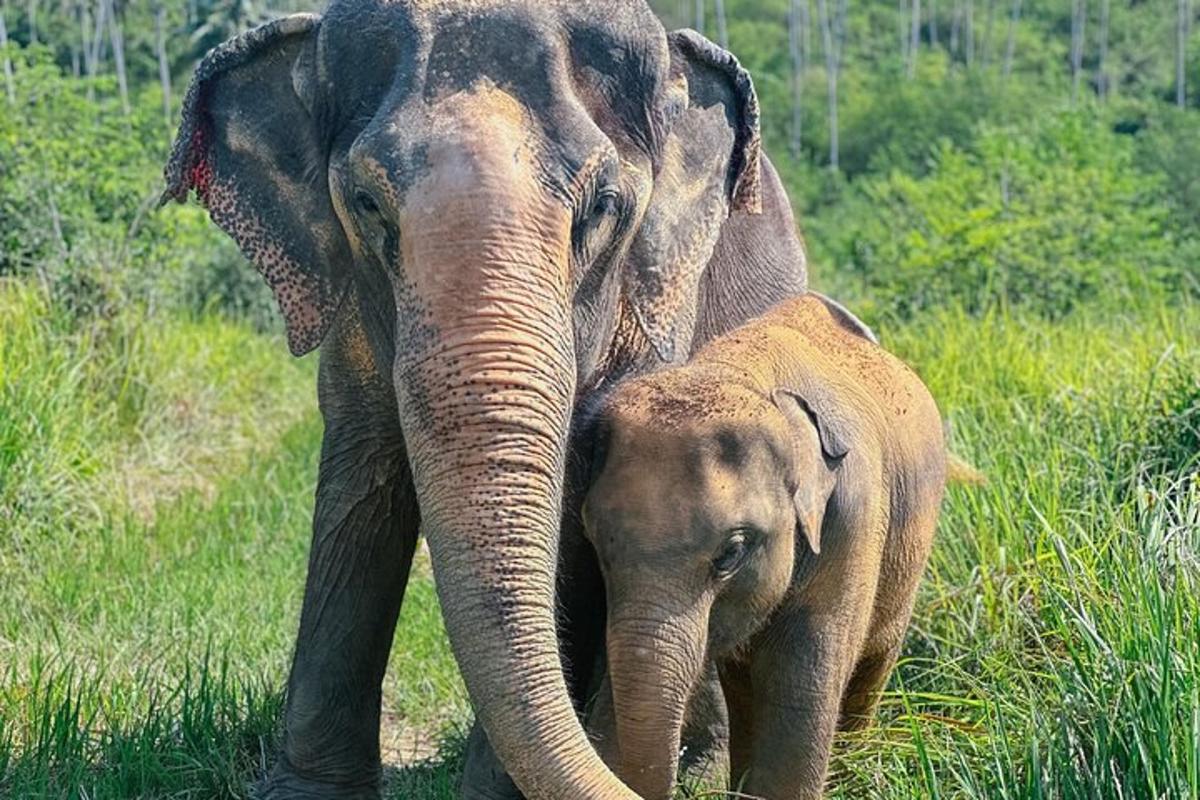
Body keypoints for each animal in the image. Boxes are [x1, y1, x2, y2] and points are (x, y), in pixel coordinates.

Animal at [585, 296, 950, 800]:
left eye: (732, 553)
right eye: (596, 542)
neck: (742, 377)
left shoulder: (851, 523)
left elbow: (800, 691)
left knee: (873, 663)